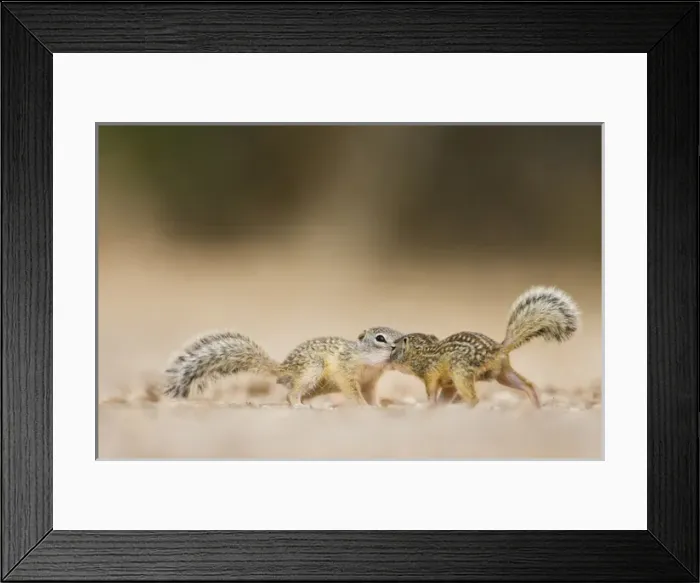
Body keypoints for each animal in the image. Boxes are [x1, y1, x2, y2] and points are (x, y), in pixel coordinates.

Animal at [162, 326, 405, 406]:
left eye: (403, 335)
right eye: (380, 338)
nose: (397, 346)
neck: (370, 363)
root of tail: (284, 369)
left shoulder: (370, 382)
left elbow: (371, 394)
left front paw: (377, 407)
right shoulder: (346, 372)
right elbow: (353, 391)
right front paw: (363, 406)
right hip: (313, 370)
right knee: (291, 394)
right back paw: (298, 406)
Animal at [388, 286, 580, 408]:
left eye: (393, 347)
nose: (386, 361)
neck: (422, 352)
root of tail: (498, 349)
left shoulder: (431, 375)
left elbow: (432, 393)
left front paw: (431, 406)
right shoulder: (448, 384)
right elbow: (445, 396)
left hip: (461, 374)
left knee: (474, 399)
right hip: (504, 374)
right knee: (528, 386)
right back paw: (537, 406)